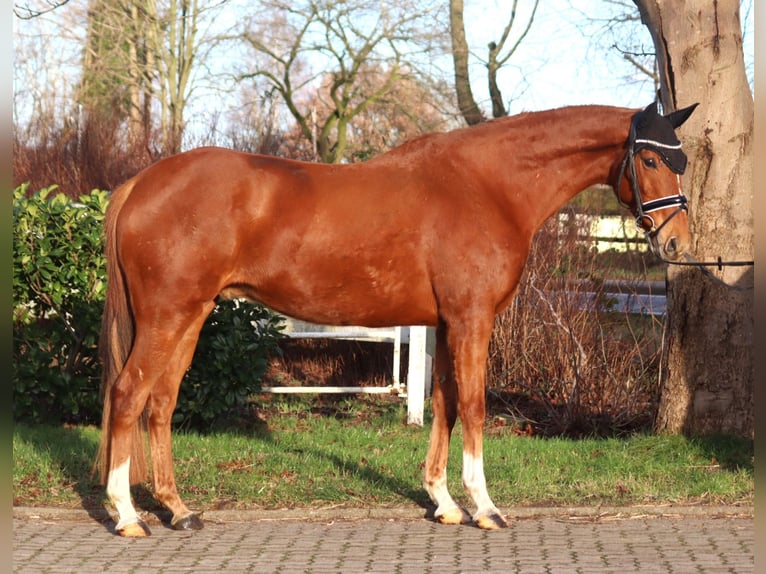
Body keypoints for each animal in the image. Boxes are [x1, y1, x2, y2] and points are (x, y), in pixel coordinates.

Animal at [94, 101, 696, 536]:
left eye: (680, 160)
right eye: (649, 160)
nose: (678, 243)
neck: (489, 185)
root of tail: (140, 184)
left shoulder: (447, 323)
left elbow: (444, 406)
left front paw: (445, 502)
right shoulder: (472, 319)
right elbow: (474, 407)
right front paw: (486, 507)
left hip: (191, 316)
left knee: (160, 403)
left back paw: (178, 510)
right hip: (167, 316)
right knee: (127, 394)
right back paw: (126, 515)